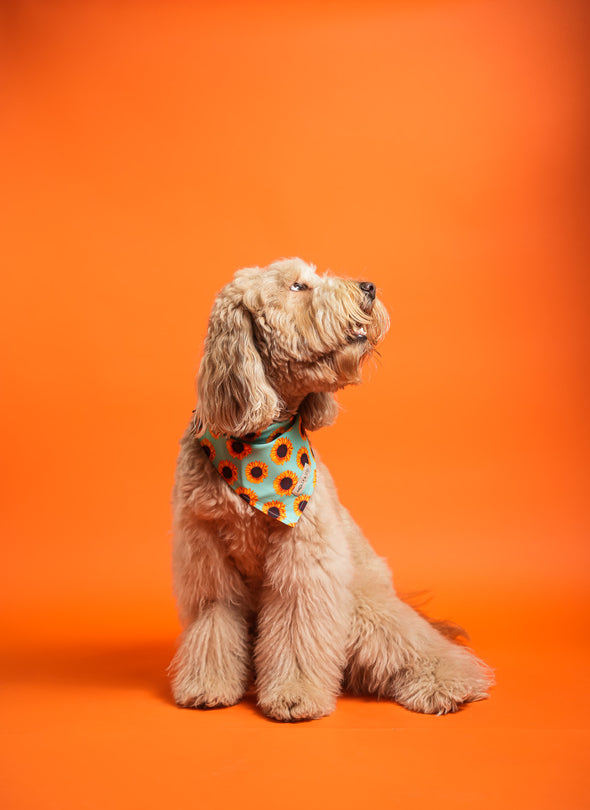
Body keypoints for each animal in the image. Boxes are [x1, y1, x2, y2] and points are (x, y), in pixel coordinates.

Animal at [169, 258, 492, 720]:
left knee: (416, 646)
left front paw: (294, 695)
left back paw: (447, 682)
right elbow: (214, 622)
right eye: (297, 286)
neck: (258, 444)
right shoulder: (206, 557)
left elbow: (295, 628)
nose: (369, 286)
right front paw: (207, 685)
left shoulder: (303, 561)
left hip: (363, 606)